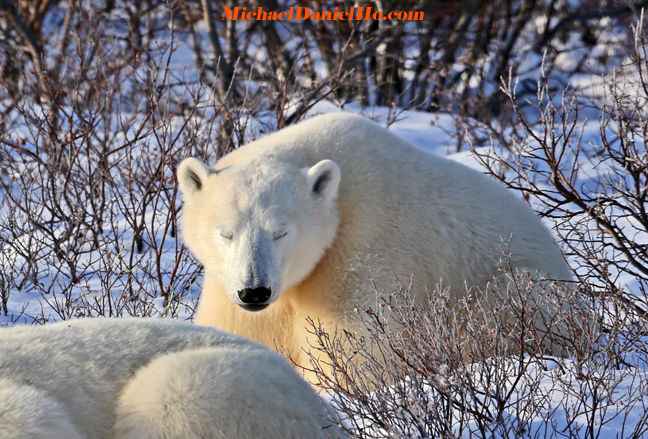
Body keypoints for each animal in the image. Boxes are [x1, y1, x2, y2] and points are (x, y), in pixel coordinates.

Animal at [178, 113, 572, 378]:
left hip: (518, 293)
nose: (254, 291)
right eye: (226, 233)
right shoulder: (229, 284)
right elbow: (239, 329)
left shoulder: (364, 241)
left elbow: (355, 347)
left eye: (281, 232)